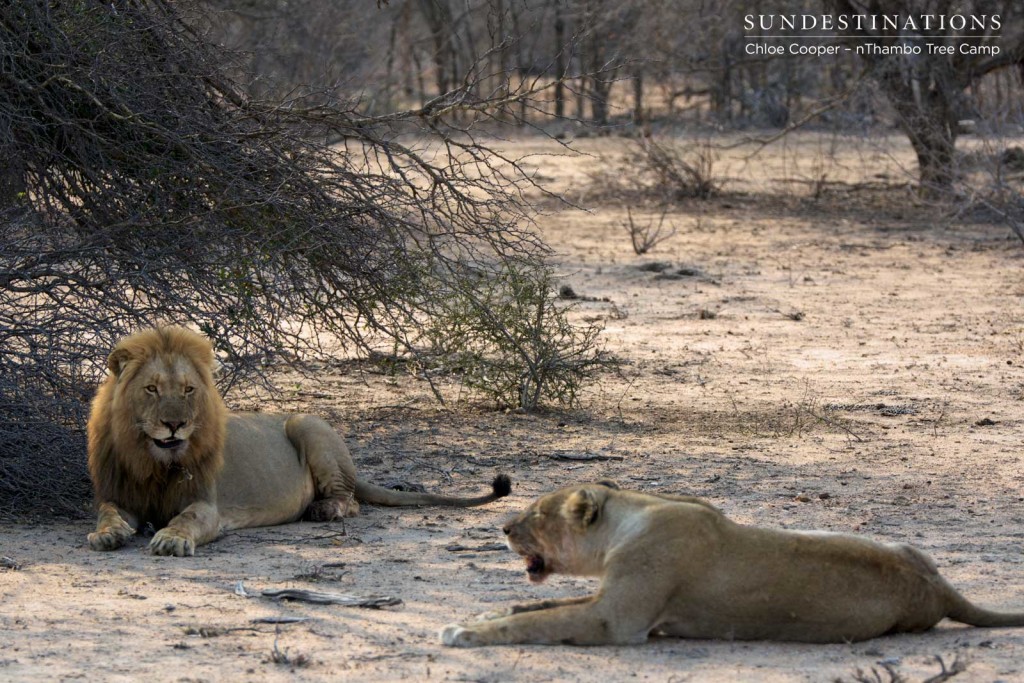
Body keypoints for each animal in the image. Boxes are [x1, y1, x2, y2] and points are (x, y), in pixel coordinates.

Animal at [86, 325, 509, 557]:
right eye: (152, 389)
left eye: (189, 390)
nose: (175, 425)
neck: (156, 463)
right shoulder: (121, 495)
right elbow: (106, 512)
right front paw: (107, 534)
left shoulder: (208, 505)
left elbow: (186, 518)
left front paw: (170, 540)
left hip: (307, 424)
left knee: (351, 502)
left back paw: (322, 510)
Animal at [444, 481, 1024, 647]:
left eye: (536, 515)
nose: (503, 529)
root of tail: (939, 586)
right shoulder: (608, 597)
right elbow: (540, 606)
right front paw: (487, 614)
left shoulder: (616, 621)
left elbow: (543, 620)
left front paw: (464, 633)